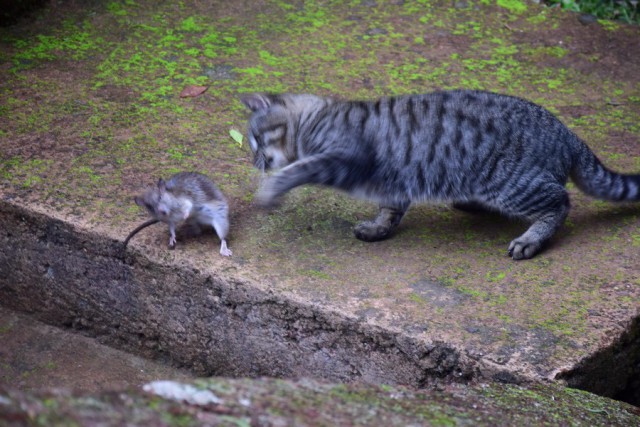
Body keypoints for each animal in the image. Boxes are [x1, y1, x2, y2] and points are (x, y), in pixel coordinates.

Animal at [241, 90, 640, 260]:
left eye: (256, 139)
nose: (254, 159)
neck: (314, 118)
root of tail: (568, 134)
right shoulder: (393, 180)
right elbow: (390, 209)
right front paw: (378, 228)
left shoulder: (341, 158)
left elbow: (296, 169)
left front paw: (271, 188)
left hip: (511, 183)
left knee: (560, 201)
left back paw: (530, 239)